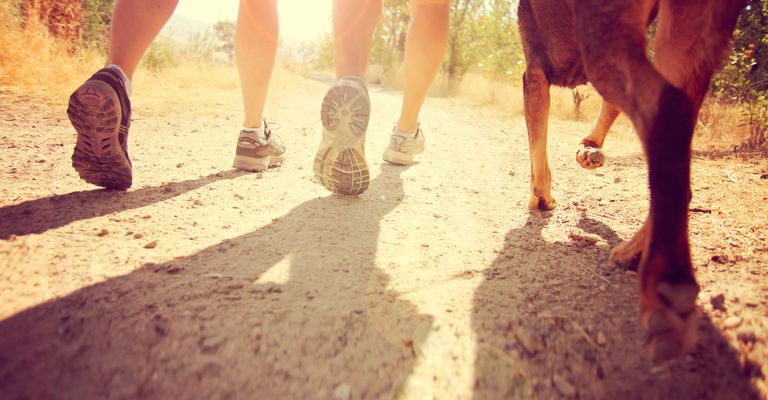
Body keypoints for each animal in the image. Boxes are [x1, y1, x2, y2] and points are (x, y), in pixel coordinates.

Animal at [520, 0, 748, 362]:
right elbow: (607, 108)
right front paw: (588, 150)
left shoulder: (535, 73)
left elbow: (537, 148)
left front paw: (541, 197)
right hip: (685, 40)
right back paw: (634, 251)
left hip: (606, 39)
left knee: (667, 107)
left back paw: (667, 283)